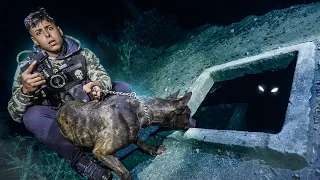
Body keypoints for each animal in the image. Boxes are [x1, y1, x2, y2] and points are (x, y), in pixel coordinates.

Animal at [56, 90, 194, 179]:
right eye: (188, 114)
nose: (194, 122)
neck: (140, 109)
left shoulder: (133, 132)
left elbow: (140, 141)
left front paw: (153, 149)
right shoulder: (101, 151)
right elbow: (124, 172)